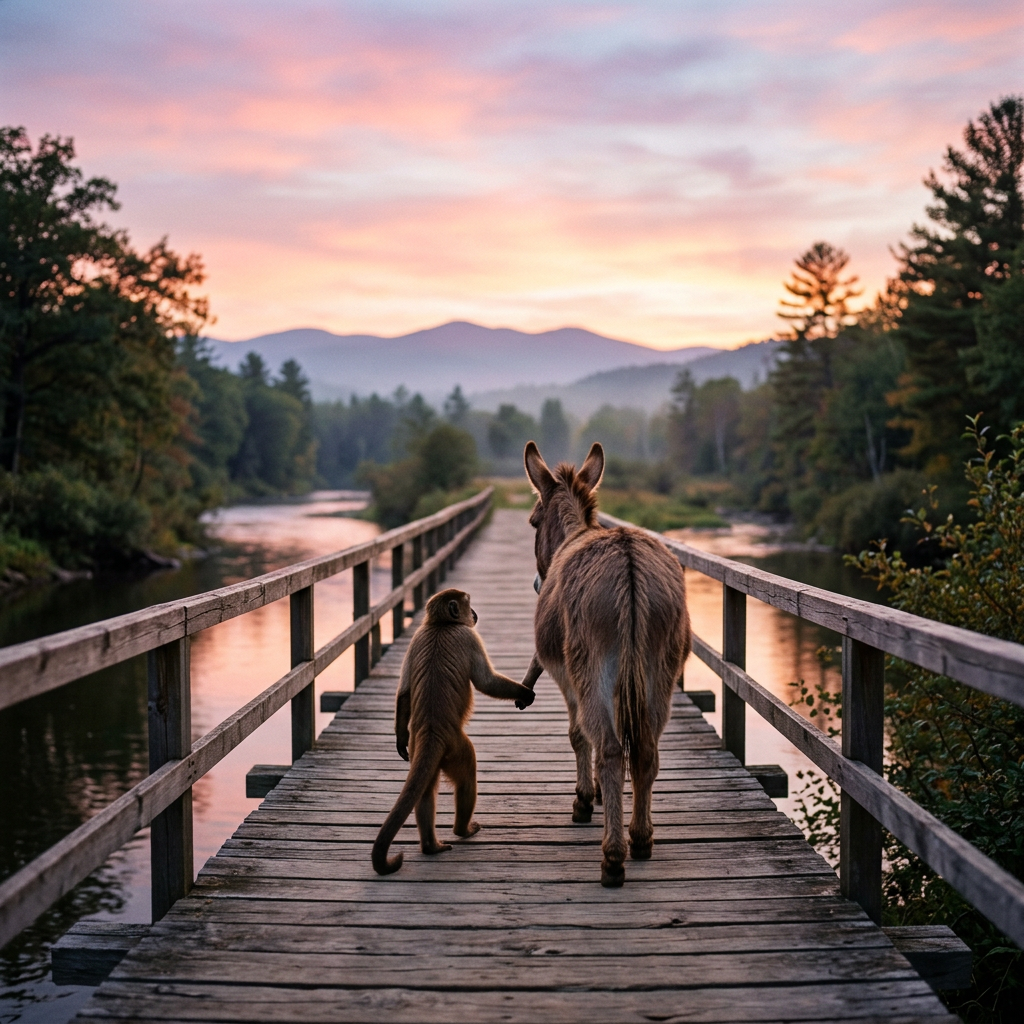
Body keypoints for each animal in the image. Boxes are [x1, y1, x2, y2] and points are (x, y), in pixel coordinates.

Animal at [372, 588, 537, 875]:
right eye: (468, 606)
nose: (474, 613)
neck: (440, 625)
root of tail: (431, 732)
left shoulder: (416, 637)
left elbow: (404, 693)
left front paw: (399, 740)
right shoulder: (467, 636)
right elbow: (486, 681)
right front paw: (525, 694)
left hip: (423, 747)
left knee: (425, 790)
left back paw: (430, 846)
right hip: (456, 745)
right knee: (467, 776)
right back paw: (462, 830)